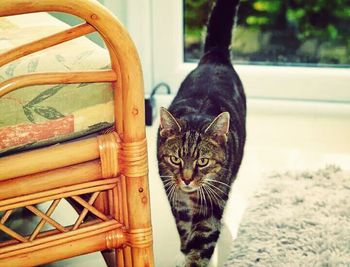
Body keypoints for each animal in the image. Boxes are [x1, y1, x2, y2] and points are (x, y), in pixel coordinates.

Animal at [157, 1, 245, 266]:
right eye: (175, 159)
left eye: (203, 161)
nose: (186, 179)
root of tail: (215, 56)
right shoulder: (177, 200)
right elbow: (184, 230)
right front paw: (185, 249)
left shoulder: (212, 202)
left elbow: (202, 241)